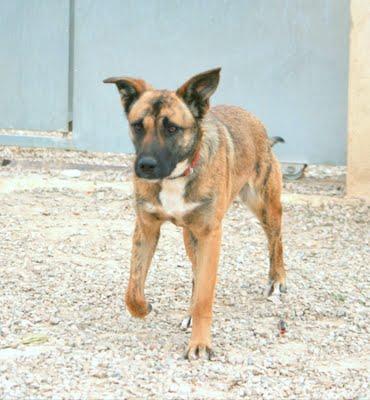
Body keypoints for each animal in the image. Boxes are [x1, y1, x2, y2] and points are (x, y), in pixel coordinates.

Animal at [104, 68, 286, 360]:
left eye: (172, 128)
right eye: (138, 125)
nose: (144, 166)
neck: (177, 174)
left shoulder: (210, 234)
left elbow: (204, 297)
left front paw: (200, 344)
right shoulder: (146, 227)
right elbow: (132, 290)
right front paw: (144, 308)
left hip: (265, 205)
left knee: (276, 241)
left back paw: (277, 280)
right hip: (191, 236)